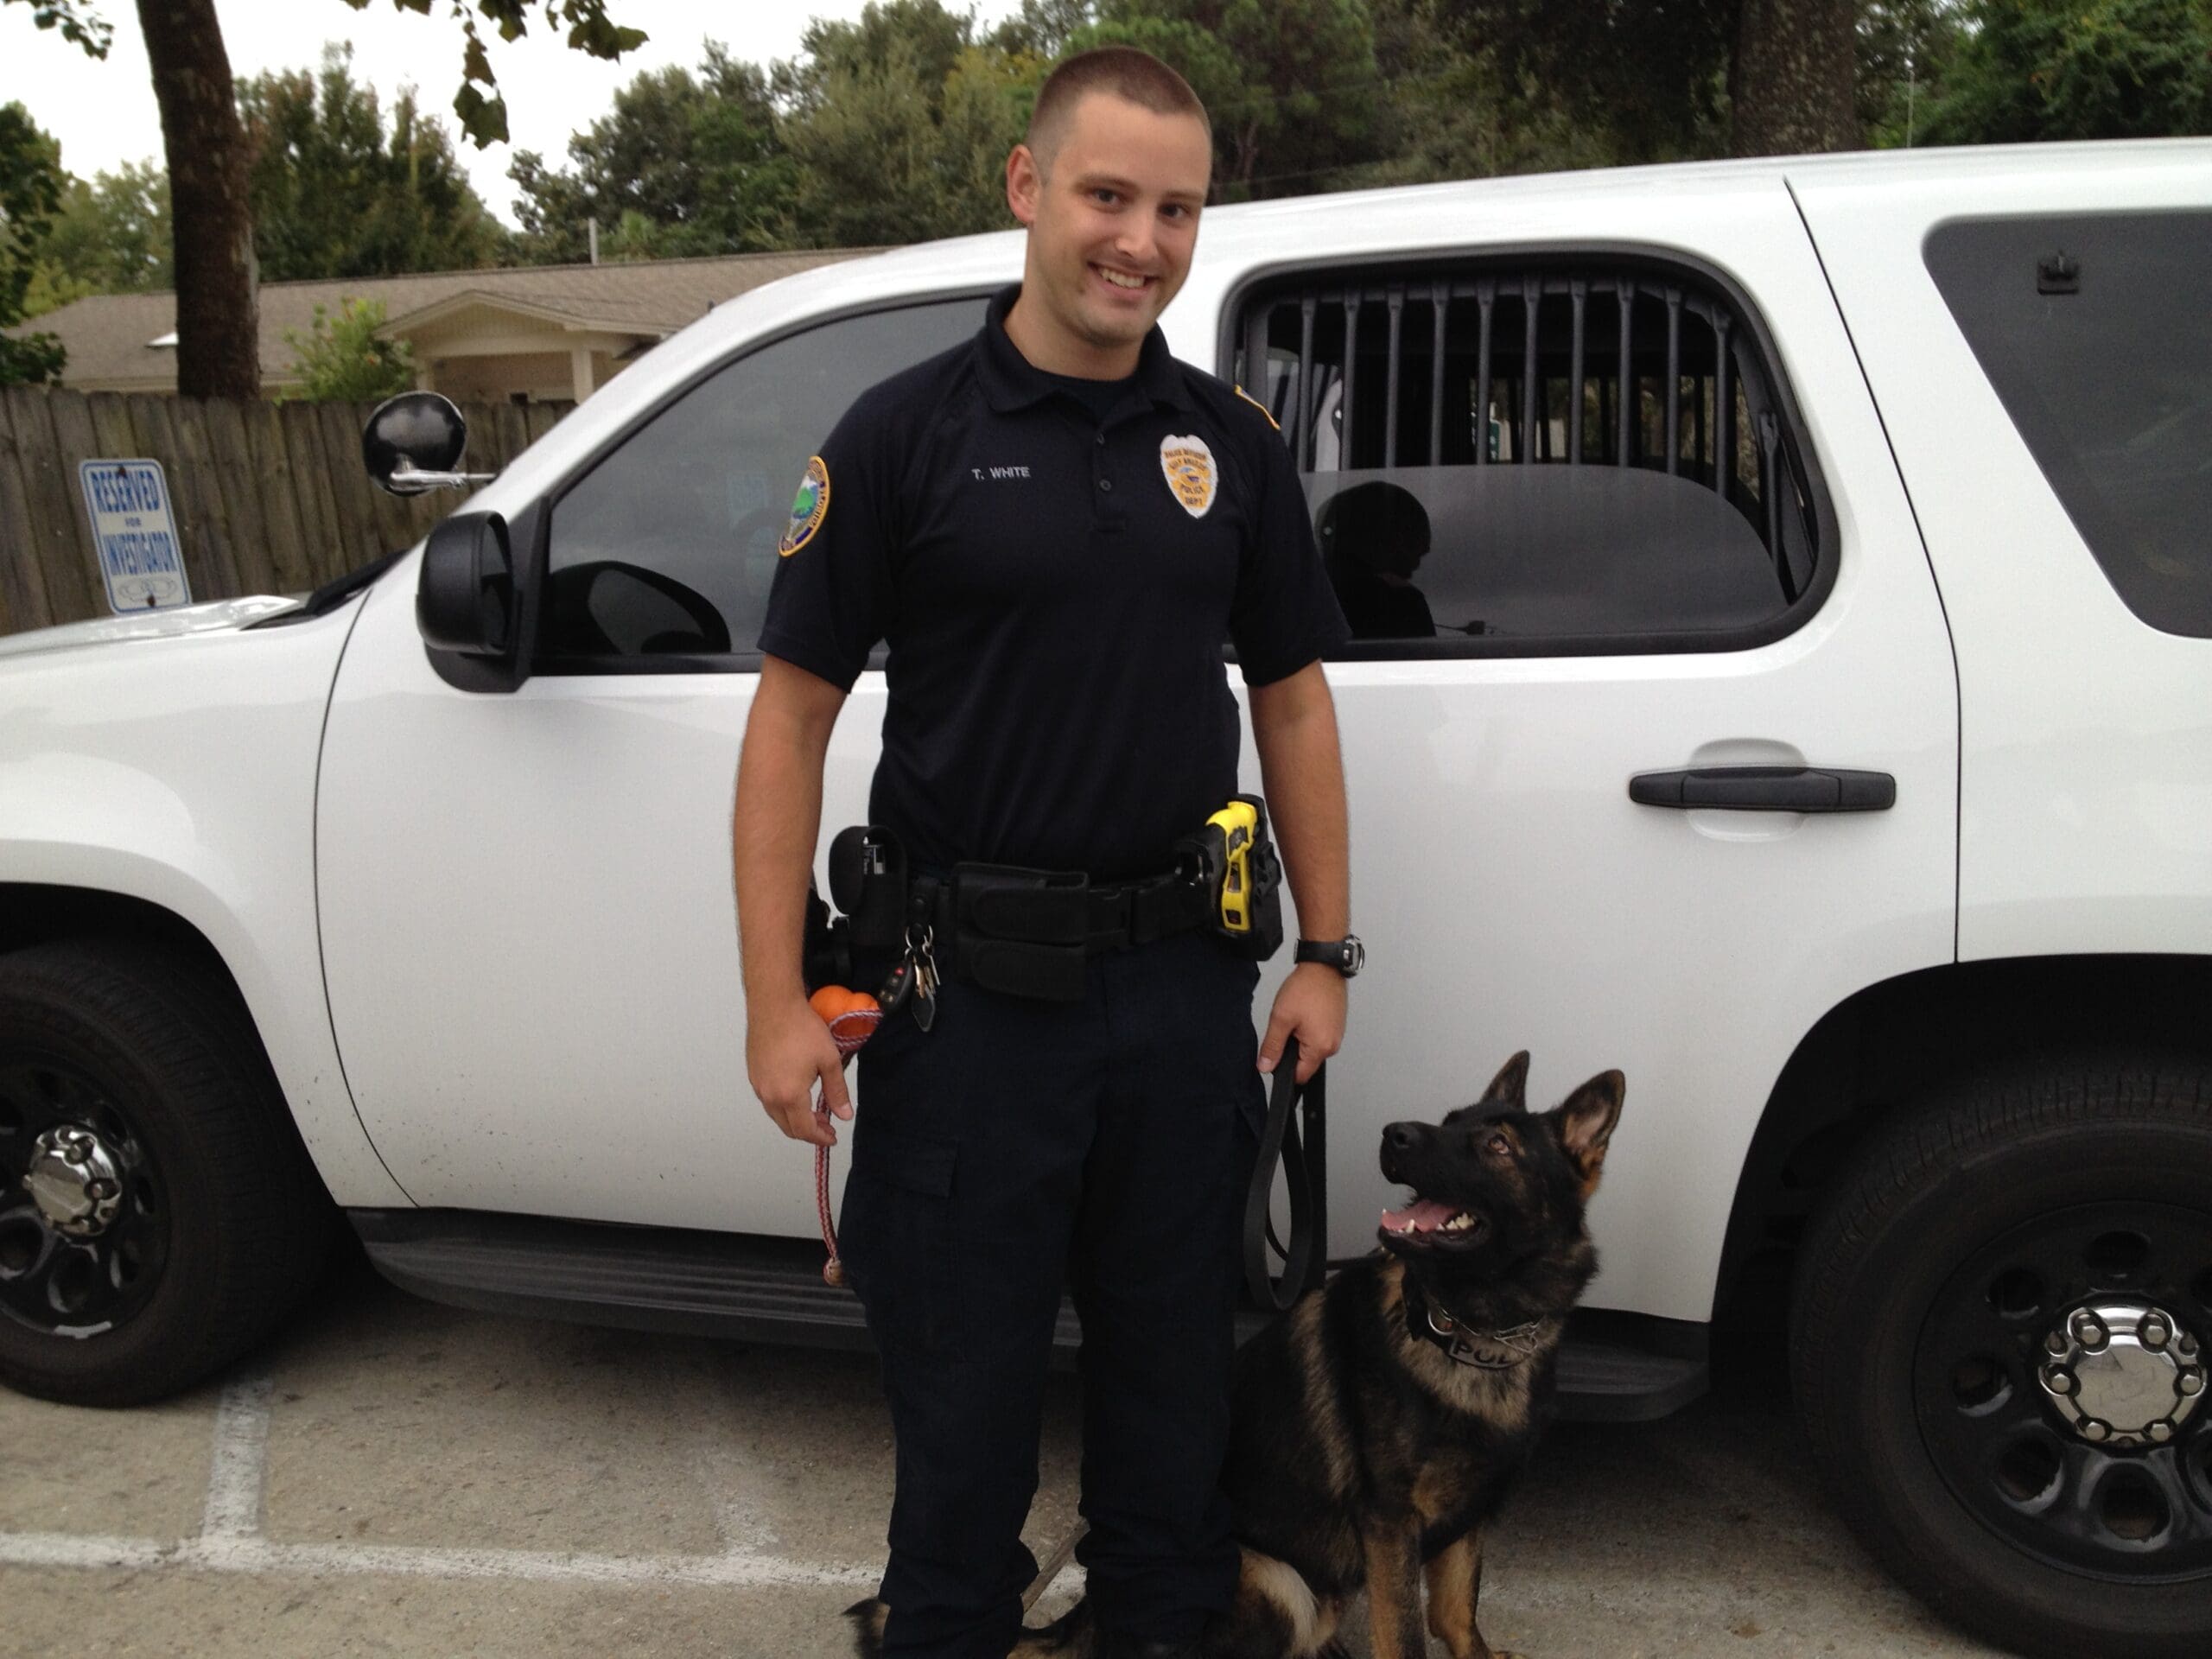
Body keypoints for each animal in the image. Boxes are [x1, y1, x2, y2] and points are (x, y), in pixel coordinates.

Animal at [850, 1051, 1625, 1659]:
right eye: (1449, 1120)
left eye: (1495, 1144)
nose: (1395, 1134)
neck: (1466, 1330)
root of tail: (1091, 1616)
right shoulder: (1391, 1528)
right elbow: (1407, 1636)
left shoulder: (1470, 1517)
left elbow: (1458, 1617)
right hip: (1281, 1582)